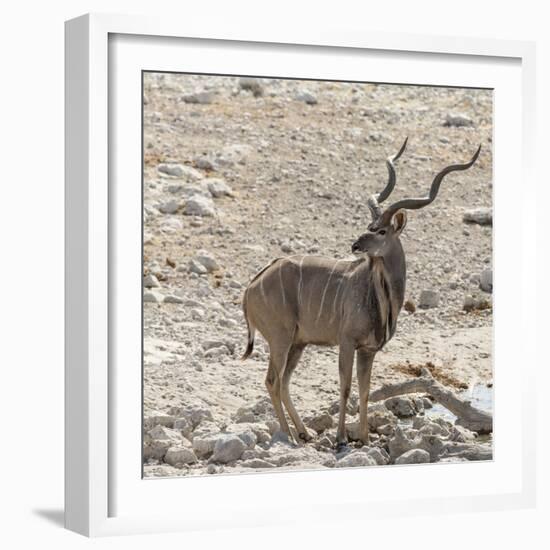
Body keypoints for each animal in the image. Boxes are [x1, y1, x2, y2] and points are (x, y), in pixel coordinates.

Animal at [244, 140, 480, 450]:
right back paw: (290, 437)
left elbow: (365, 390)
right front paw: (341, 438)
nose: (355, 245)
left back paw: (304, 433)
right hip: (280, 339)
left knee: (283, 382)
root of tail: (251, 287)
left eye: (380, 231)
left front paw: (365, 438)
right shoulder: (347, 342)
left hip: (297, 343)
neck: (379, 298)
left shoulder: (368, 350)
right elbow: (345, 387)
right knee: (272, 380)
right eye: (369, 228)